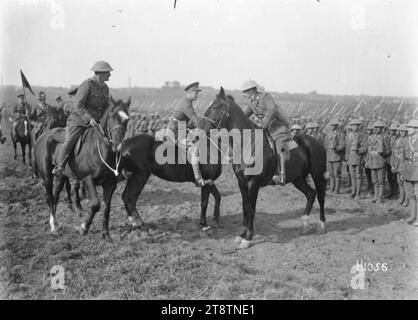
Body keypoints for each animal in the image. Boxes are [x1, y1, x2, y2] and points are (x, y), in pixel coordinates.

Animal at [34, 96, 131, 241]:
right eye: (112, 116)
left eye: (127, 119)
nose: (118, 146)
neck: (100, 149)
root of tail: (43, 136)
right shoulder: (88, 180)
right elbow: (95, 205)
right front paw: (84, 228)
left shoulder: (110, 184)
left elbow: (107, 207)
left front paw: (106, 233)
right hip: (47, 176)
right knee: (50, 197)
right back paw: (53, 226)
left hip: (61, 176)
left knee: (56, 196)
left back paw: (56, 222)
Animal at [198, 88, 328, 250]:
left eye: (216, 106)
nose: (199, 128)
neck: (247, 143)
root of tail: (318, 142)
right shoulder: (242, 182)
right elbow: (245, 207)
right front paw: (241, 235)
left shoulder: (253, 183)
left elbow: (251, 209)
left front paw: (247, 238)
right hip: (298, 179)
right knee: (311, 194)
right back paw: (304, 224)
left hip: (318, 175)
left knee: (321, 197)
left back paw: (322, 224)